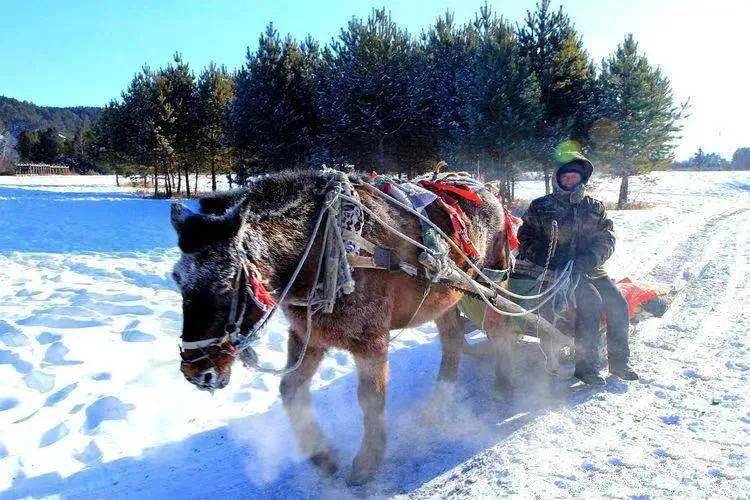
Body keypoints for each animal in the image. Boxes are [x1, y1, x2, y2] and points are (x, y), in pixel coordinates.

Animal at [170, 170, 508, 486]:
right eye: (177, 279)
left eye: (226, 281)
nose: (197, 372)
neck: (327, 248)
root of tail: (486, 188)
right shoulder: (309, 336)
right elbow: (289, 389)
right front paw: (323, 455)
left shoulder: (371, 341)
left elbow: (371, 398)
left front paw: (368, 462)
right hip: (446, 298)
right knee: (452, 341)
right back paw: (438, 405)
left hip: (491, 284)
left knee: (498, 329)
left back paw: (508, 384)